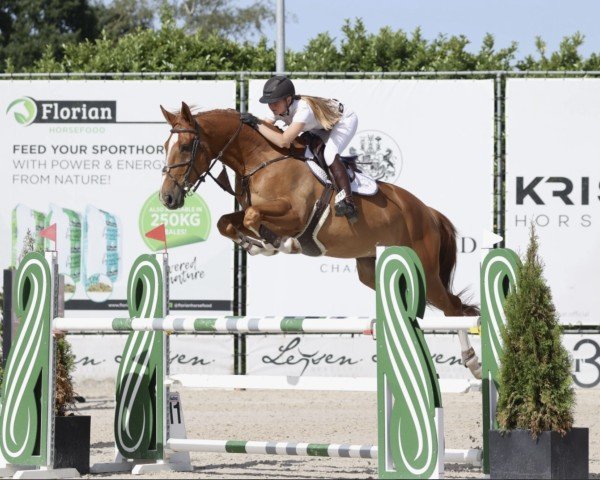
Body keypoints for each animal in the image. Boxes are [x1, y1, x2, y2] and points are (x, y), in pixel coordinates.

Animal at [159, 103, 482, 376]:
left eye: (185, 147)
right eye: (164, 147)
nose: (168, 198)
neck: (261, 159)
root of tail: (428, 212)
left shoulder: (295, 215)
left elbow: (253, 217)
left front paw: (280, 244)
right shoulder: (252, 212)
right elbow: (226, 222)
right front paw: (253, 244)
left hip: (425, 269)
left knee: (453, 308)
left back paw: (473, 363)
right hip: (372, 269)